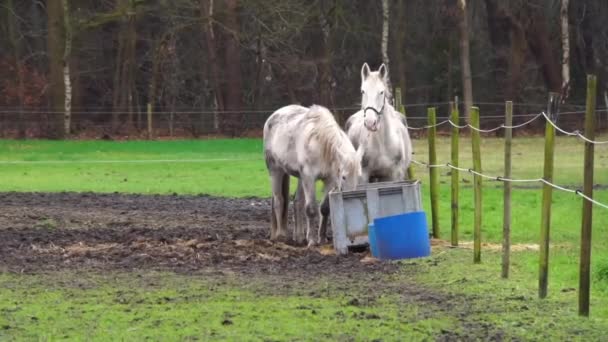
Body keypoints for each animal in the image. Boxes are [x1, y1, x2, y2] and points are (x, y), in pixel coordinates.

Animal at [262, 104, 360, 246]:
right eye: (344, 177)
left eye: (358, 176)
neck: (320, 144)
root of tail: (273, 116)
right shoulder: (309, 178)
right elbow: (311, 209)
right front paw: (313, 241)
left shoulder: (329, 180)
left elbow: (324, 208)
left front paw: (322, 238)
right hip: (275, 170)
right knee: (279, 200)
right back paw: (281, 236)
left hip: (300, 177)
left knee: (297, 202)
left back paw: (299, 237)